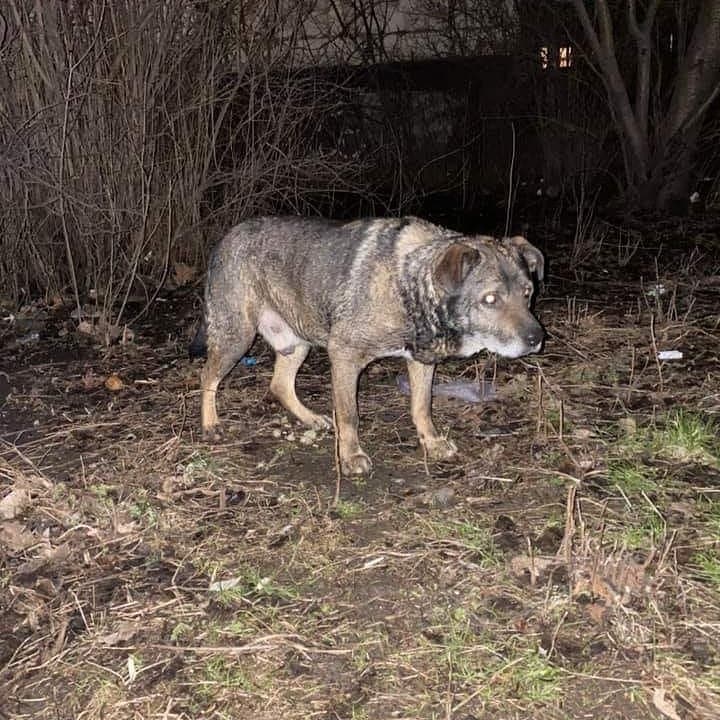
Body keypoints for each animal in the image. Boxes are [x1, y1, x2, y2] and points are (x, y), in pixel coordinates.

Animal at [188, 215, 544, 472]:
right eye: (490, 299)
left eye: (527, 293)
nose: (536, 339)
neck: (409, 283)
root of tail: (226, 238)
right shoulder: (344, 355)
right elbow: (349, 415)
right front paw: (350, 456)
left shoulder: (421, 361)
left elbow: (421, 407)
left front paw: (431, 442)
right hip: (237, 337)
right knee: (207, 375)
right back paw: (210, 424)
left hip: (297, 340)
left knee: (279, 384)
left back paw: (310, 418)